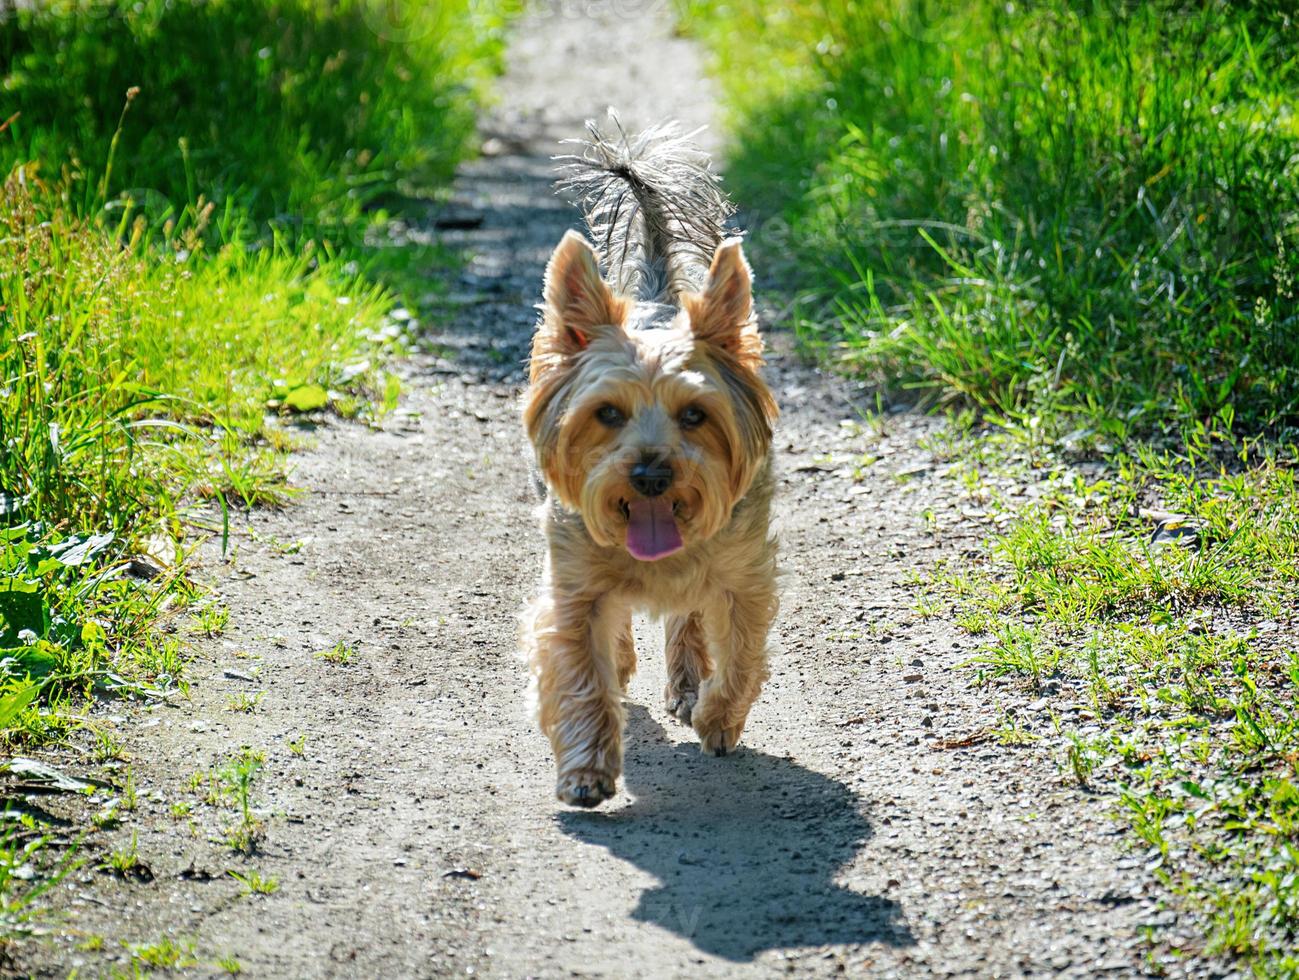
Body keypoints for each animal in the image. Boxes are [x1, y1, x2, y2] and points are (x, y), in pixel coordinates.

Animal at [519, 116, 779, 800]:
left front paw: (718, 718)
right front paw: (586, 770)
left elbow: (741, 649)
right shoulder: (575, 584)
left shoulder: (744, 572)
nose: (652, 475)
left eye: (696, 415)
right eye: (607, 413)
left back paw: (688, 687)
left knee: (688, 617)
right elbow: (580, 667)